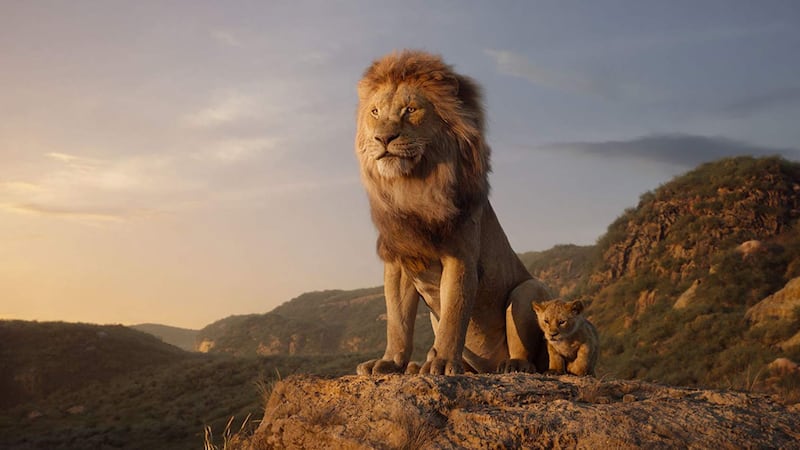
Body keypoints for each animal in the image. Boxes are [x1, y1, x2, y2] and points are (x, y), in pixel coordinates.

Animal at [354, 50, 553, 375]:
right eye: (374, 112)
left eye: (410, 110)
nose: (383, 138)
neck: (413, 187)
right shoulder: (399, 261)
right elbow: (397, 321)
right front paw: (390, 362)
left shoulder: (460, 256)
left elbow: (453, 315)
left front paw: (443, 362)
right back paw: (418, 366)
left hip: (528, 290)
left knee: (528, 352)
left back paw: (512, 365)